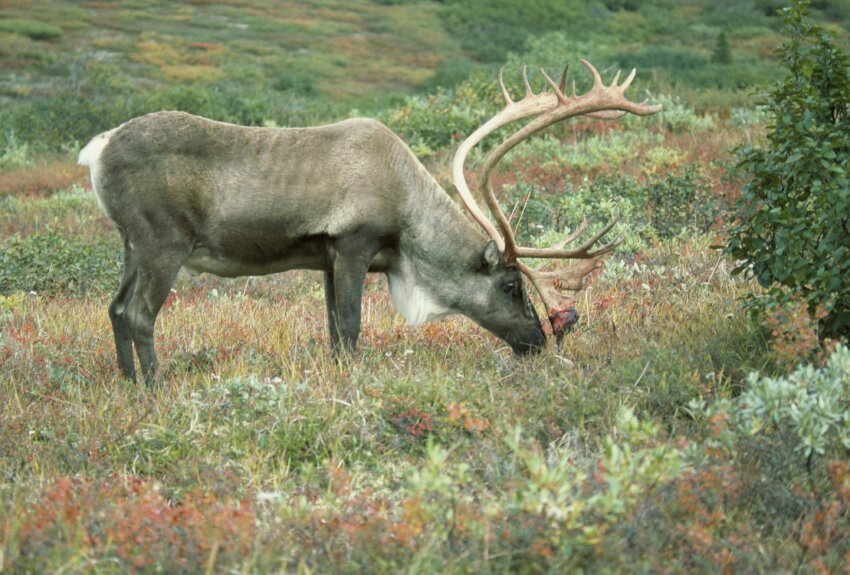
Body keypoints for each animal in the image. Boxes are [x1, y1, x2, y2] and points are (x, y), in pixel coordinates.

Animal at [79, 60, 660, 384]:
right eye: (512, 285)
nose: (537, 341)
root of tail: (97, 148)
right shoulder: (352, 245)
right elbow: (351, 326)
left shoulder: (325, 259)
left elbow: (333, 328)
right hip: (163, 244)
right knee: (139, 314)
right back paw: (156, 389)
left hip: (130, 244)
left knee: (114, 307)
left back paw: (128, 385)